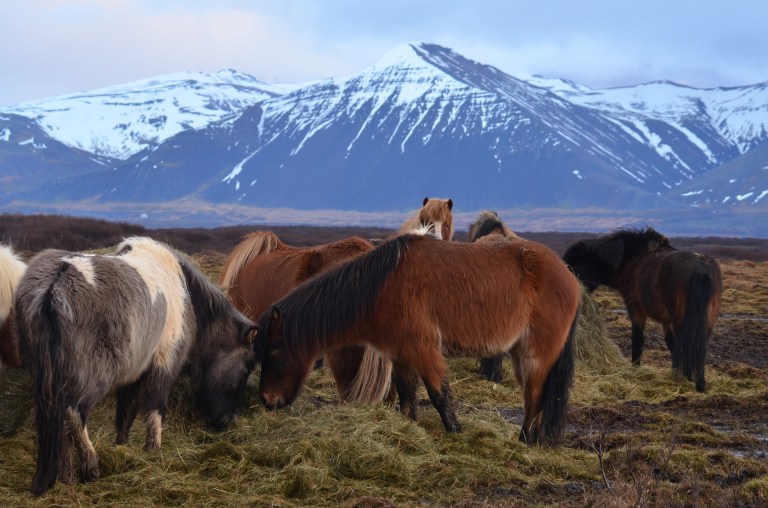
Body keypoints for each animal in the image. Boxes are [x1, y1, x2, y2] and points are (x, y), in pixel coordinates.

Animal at [15, 237, 259, 495]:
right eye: (248, 367)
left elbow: (126, 412)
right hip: (94, 377)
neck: (184, 291)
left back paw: (68, 476)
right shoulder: (165, 364)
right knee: (74, 413)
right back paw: (91, 468)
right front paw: (153, 450)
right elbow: (155, 407)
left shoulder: (133, 373)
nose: (228, 420)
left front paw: (121, 447)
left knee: (60, 417)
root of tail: (54, 287)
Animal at [256, 233, 581, 445]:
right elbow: (407, 395)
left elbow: (439, 395)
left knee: (534, 396)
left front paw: (455, 433)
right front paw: (409, 427)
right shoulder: (401, 355)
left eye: (273, 353)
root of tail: (568, 276)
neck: (382, 286)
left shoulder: (423, 350)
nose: (267, 401)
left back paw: (524, 439)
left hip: (535, 354)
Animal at [562, 227, 722, 392]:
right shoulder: (666, 320)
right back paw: (699, 382)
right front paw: (676, 372)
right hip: (706, 321)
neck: (633, 260)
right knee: (700, 347)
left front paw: (636, 368)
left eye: (575, 267)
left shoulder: (636, 311)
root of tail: (701, 270)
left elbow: (638, 340)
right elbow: (671, 344)